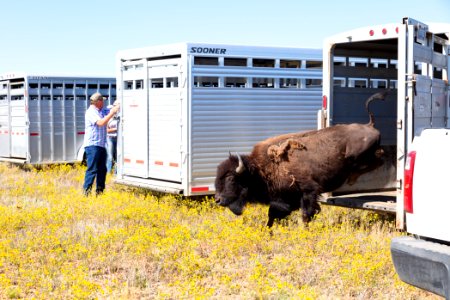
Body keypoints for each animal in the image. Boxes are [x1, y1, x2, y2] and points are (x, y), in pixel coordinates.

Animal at [214, 92, 386, 227]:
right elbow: (273, 214)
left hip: (358, 156)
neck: (261, 168)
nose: (218, 200)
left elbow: (306, 214)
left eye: (231, 178)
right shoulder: (285, 200)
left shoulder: (308, 191)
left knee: (379, 160)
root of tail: (369, 125)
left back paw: (352, 178)